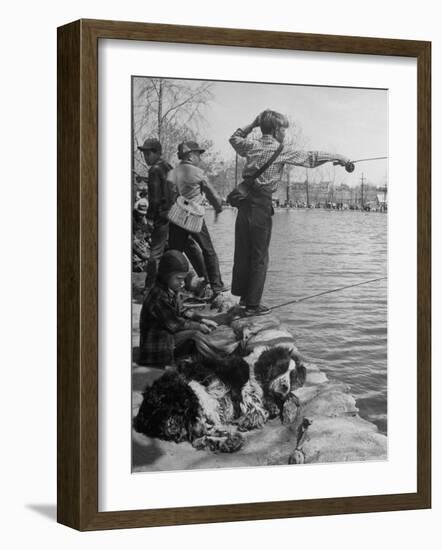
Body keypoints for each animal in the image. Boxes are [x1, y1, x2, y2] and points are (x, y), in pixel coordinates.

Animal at [134, 348, 308, 454]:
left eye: (292, 375)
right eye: (280, 369)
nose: (285, 386)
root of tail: (143, 415)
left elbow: (291, 397)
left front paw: (288, 411)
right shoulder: (242, 390)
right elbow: (257, 407)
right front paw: (251, 419)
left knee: (198, 436)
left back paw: (229, 441)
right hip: (197, 392)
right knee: (199, 433)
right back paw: (230, 438)